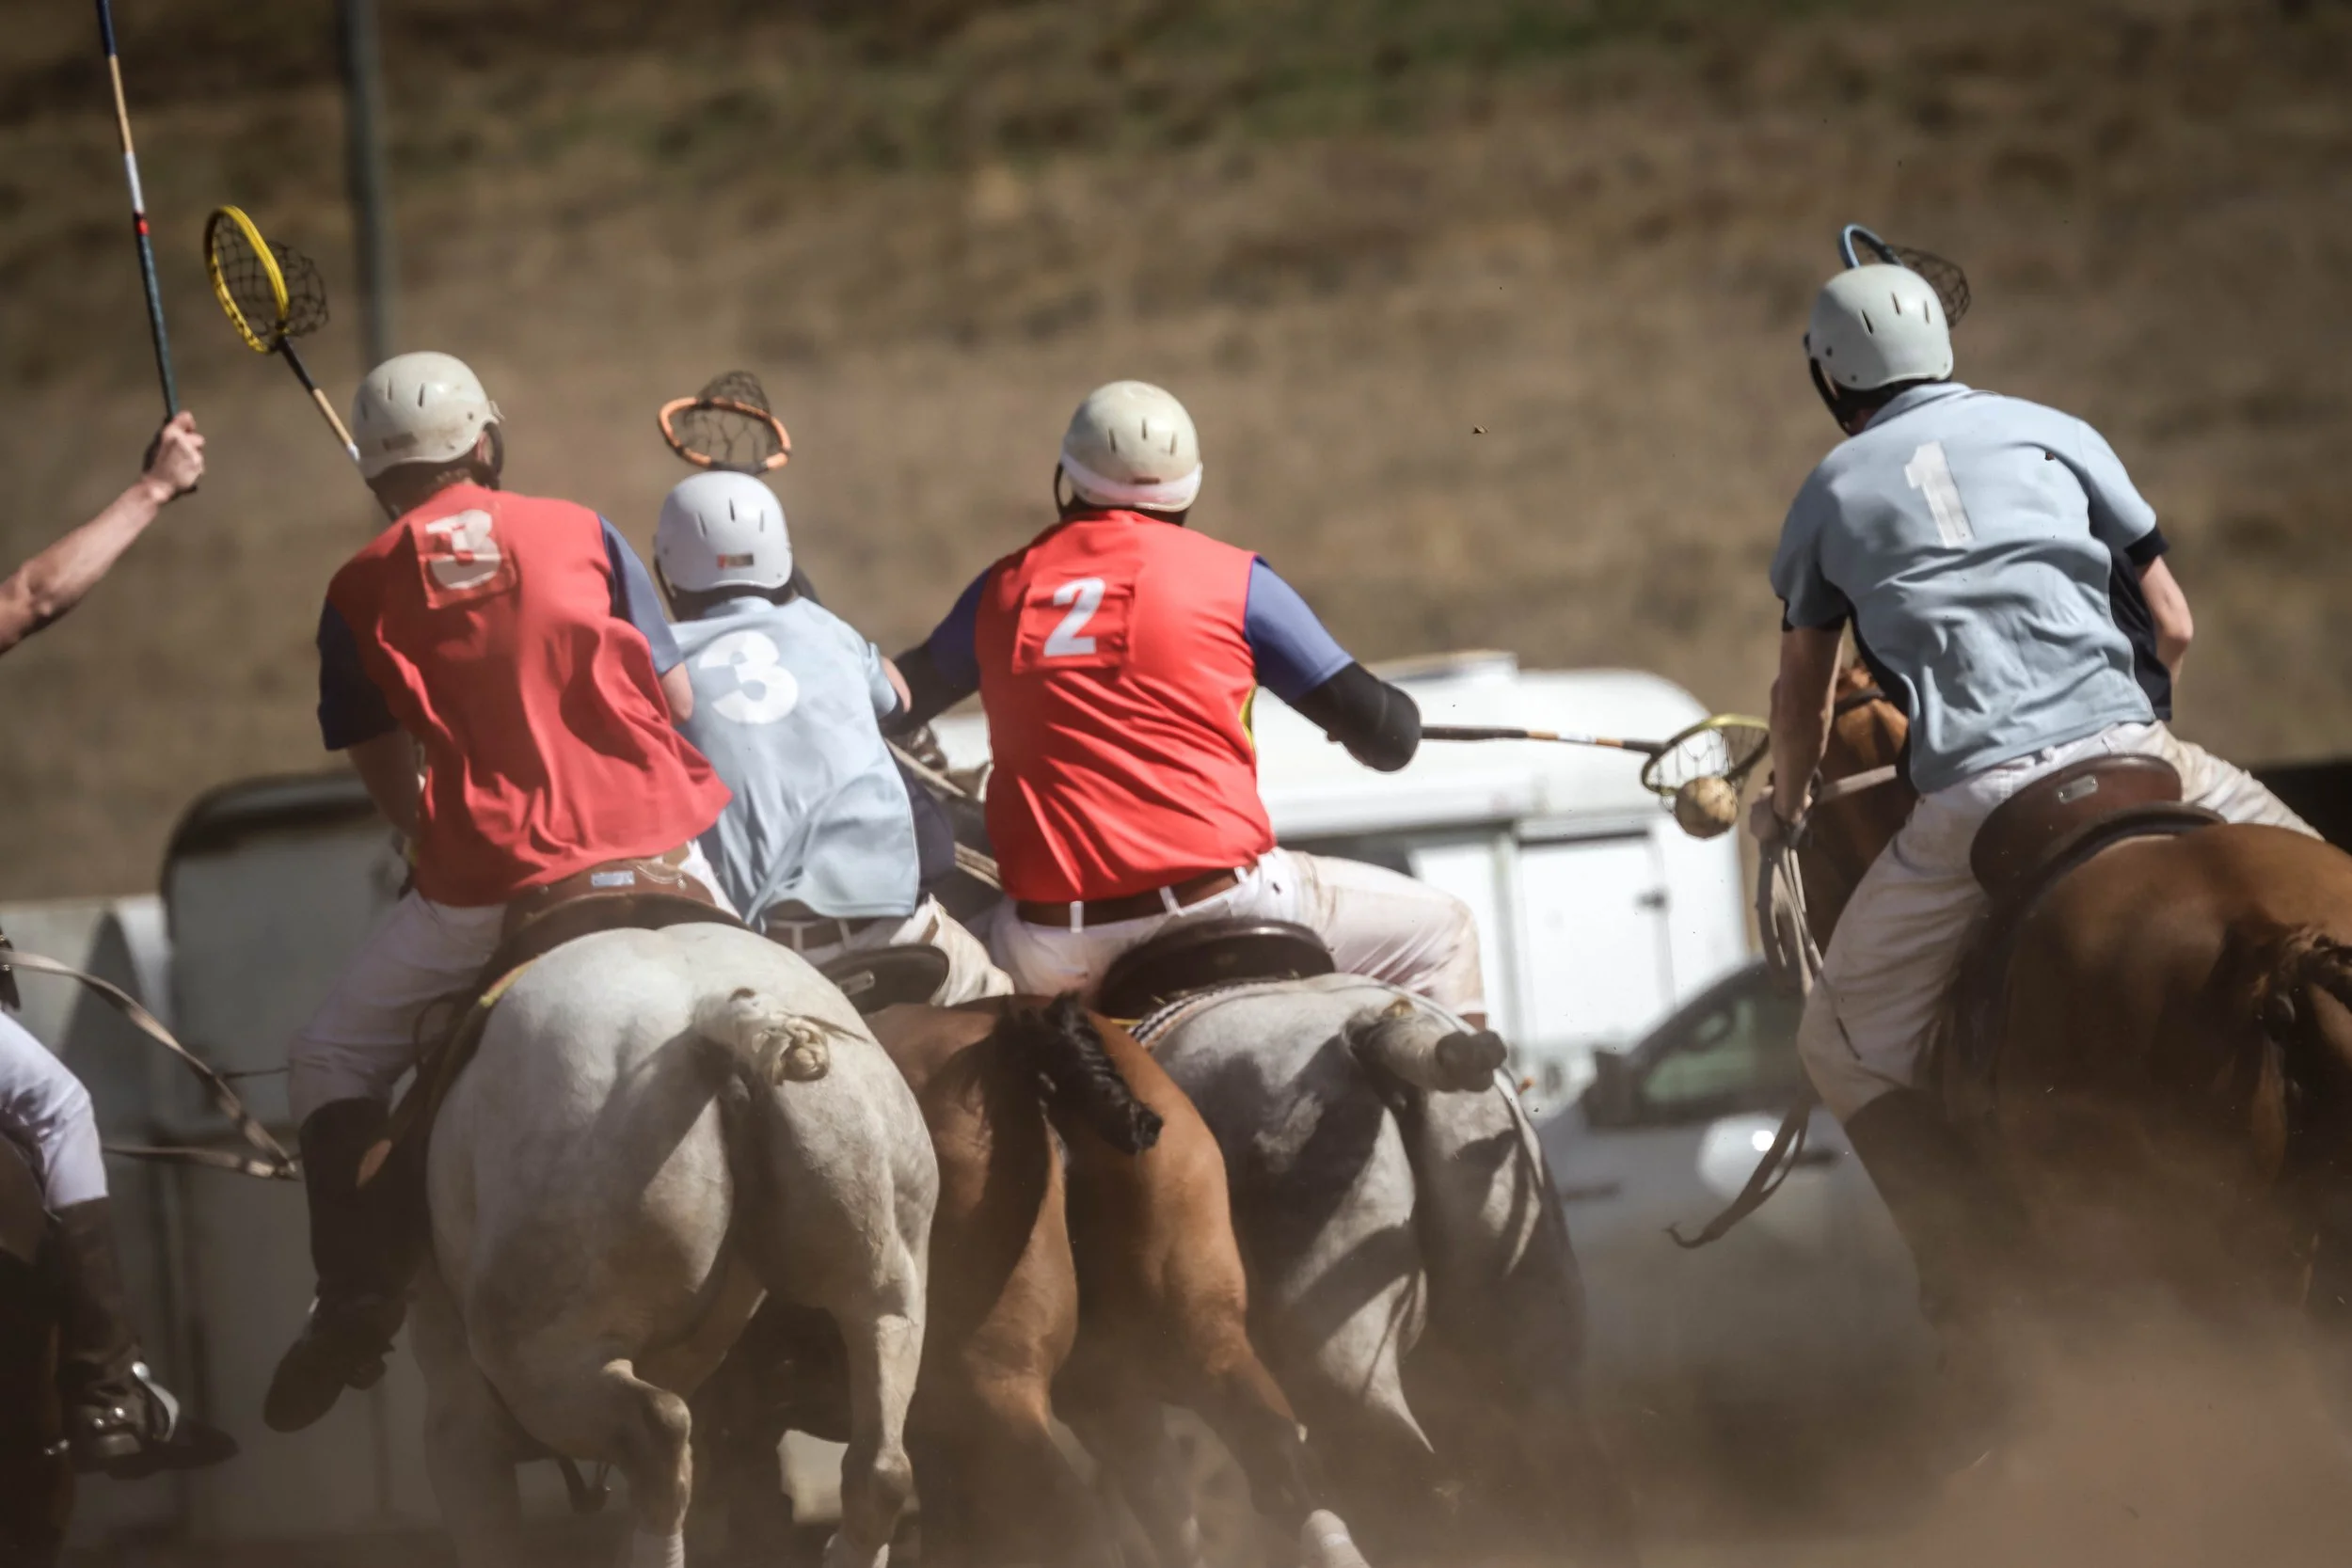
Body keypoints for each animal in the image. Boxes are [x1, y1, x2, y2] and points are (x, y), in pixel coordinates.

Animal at [408, 922, 937, 1568]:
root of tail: (714, 1015)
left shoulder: (459, 1427)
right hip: (885, 1289)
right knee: (879, 1466)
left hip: (540, 1359)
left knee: (655, 1435)